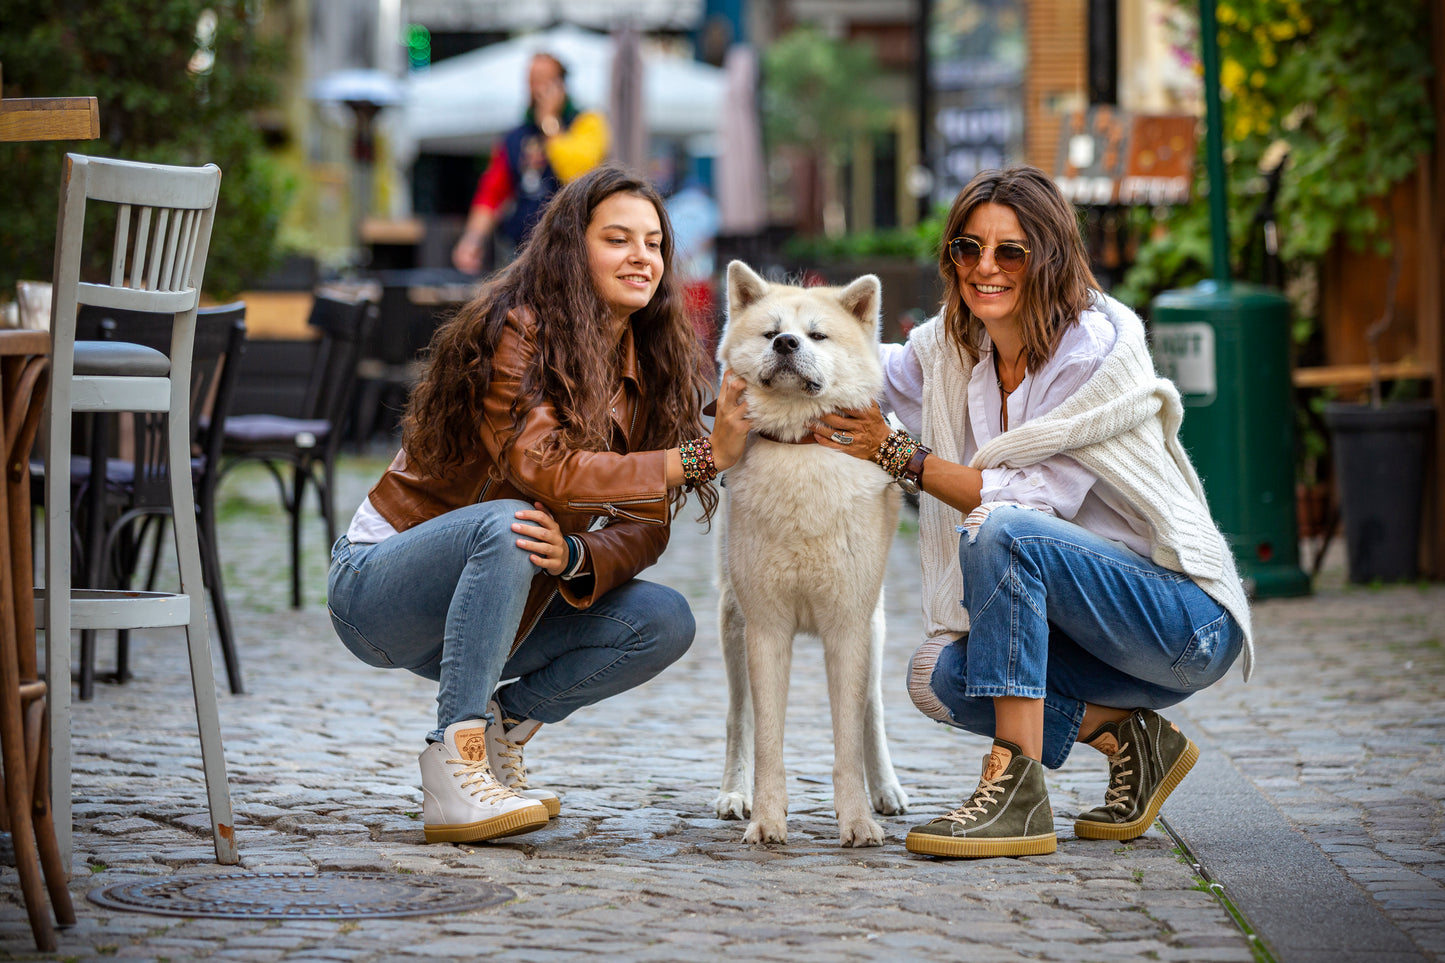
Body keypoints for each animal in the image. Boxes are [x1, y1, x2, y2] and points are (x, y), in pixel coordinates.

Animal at [713, 258, 907, 844]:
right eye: (771, 332)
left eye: (817, 335)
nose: (786, 343)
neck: (800, 450)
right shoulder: (767, 628)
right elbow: (767, 741)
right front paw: (767, 820)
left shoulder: (847, 627)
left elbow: (847, 741)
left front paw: (858, 822)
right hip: (733, 626)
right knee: (738, 718)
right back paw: (734, 794)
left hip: (874, 629)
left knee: (873, 713)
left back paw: (887, 791)